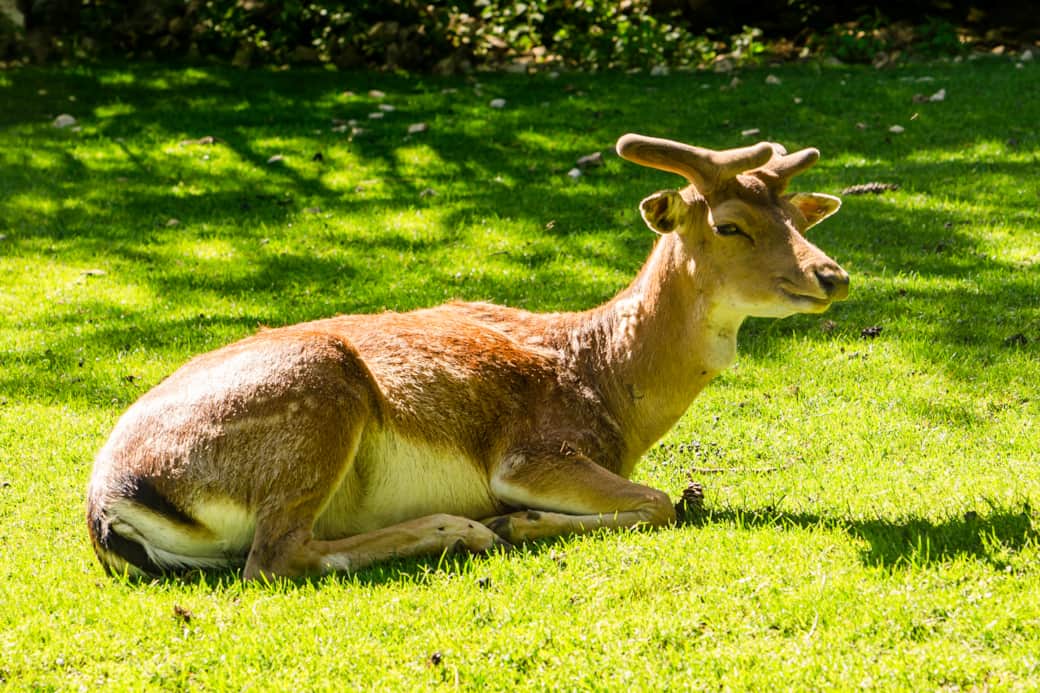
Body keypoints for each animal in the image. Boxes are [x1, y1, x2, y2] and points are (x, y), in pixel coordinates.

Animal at [86, 134, 849, 580]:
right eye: (730, 225)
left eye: (798, 218)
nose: (832, 275)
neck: (609, 385)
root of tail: (111, 502)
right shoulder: (533, 451)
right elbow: (659, 501)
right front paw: (520, 520)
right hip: (317, 390)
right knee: (273, 558)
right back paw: (463, 528)